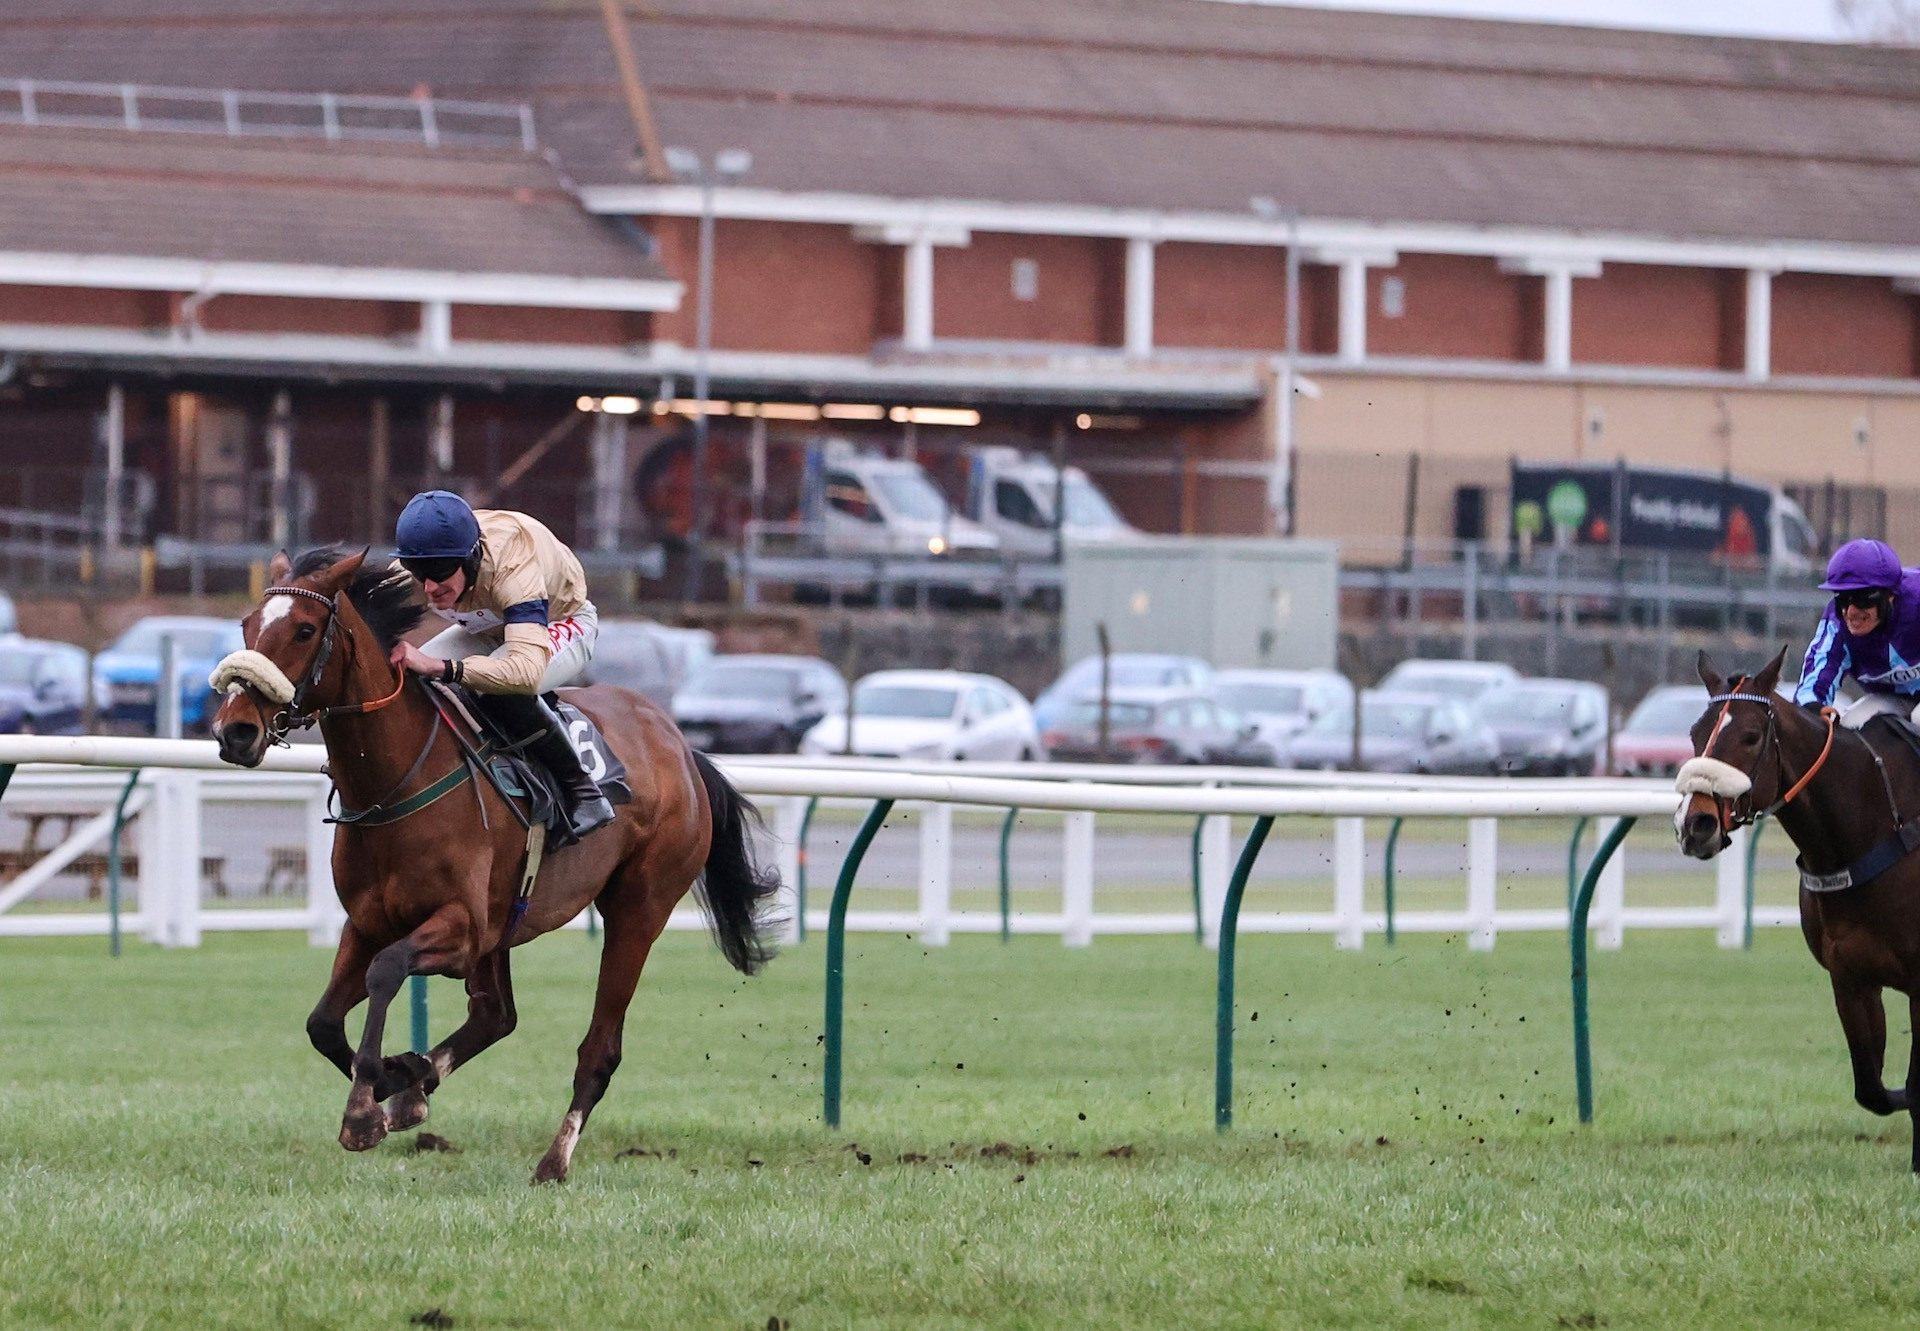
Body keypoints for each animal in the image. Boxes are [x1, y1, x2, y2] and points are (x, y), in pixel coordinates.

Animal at [210, 545, 779, 1175]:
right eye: (246, 626)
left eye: (305, 630)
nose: (235, 732)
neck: (395, 780)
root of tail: (679, 745)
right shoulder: (369, 923)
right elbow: (323, 1023)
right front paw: (396, 1079)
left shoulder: (461, 927)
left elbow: (387, 969)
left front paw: (366, 1108)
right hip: (507, 922)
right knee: (496, 1016)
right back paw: (417, 1086)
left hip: (639, 909)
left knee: (599, 1048)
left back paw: (553, 1161)